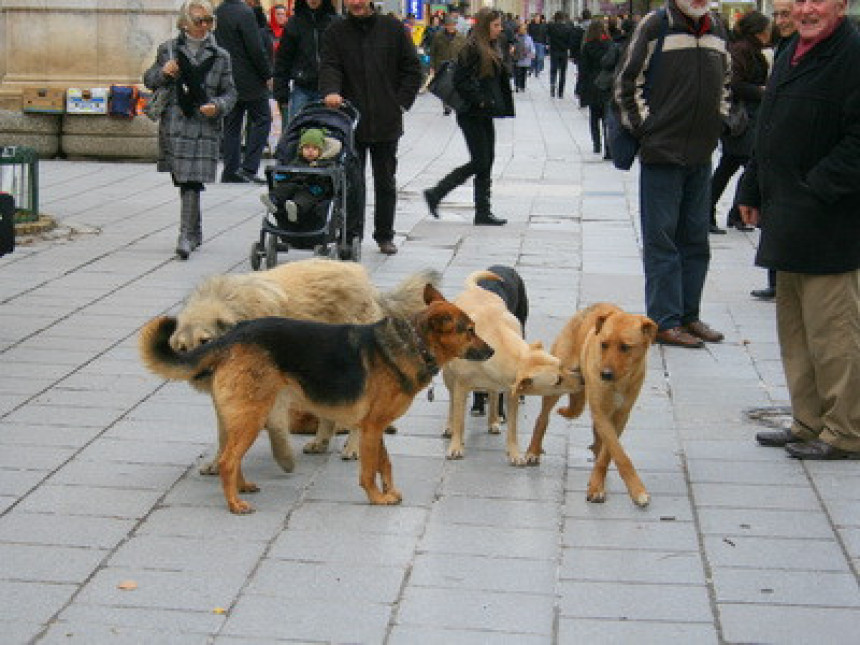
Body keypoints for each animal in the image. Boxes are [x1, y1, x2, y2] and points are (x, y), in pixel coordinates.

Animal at [138, 286, 494, 512]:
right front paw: (377, 499)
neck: (415, 343)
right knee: (227, 461)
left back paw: (242, 487)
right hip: (252, 417)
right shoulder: (371, 429)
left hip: (243, 416)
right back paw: (234, 504)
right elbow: (369, 470)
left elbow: (385, 463)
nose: (491, 351)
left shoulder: (374, 428)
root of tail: (231, 336)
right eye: (469, 329)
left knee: (231, 457)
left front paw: (389, 492)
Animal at [170, 258, 436, 472]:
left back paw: (352, 447)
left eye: (205, 341)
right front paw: (217, 462)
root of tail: (365, 279)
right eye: (182, 348)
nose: (197, 375)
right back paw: (321, 441)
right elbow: (223, 433)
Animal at [444, 270, 584, 462]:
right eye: (557, 381)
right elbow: (459, 419)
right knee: (452, 401)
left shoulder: (512, 392)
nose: (583, 379)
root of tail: (476, 289)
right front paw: (456, 445)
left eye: (562, 365)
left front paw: (515, 453)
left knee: (494, 395)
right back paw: (450, 426)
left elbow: (513, 428)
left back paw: (493, 420)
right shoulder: (461, 385)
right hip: (449, 376)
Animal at [524, 304, 660, 506]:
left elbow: (609, 452)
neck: (619, 382)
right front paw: (634, 490)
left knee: (598, 439)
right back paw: (533, 450)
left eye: (625, 347)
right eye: (603, 344)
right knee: (542, 418)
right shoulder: (600, 412)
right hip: (556, 383)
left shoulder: (620, 415)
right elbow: (620, 454)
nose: (605, 374)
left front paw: (598, 482)